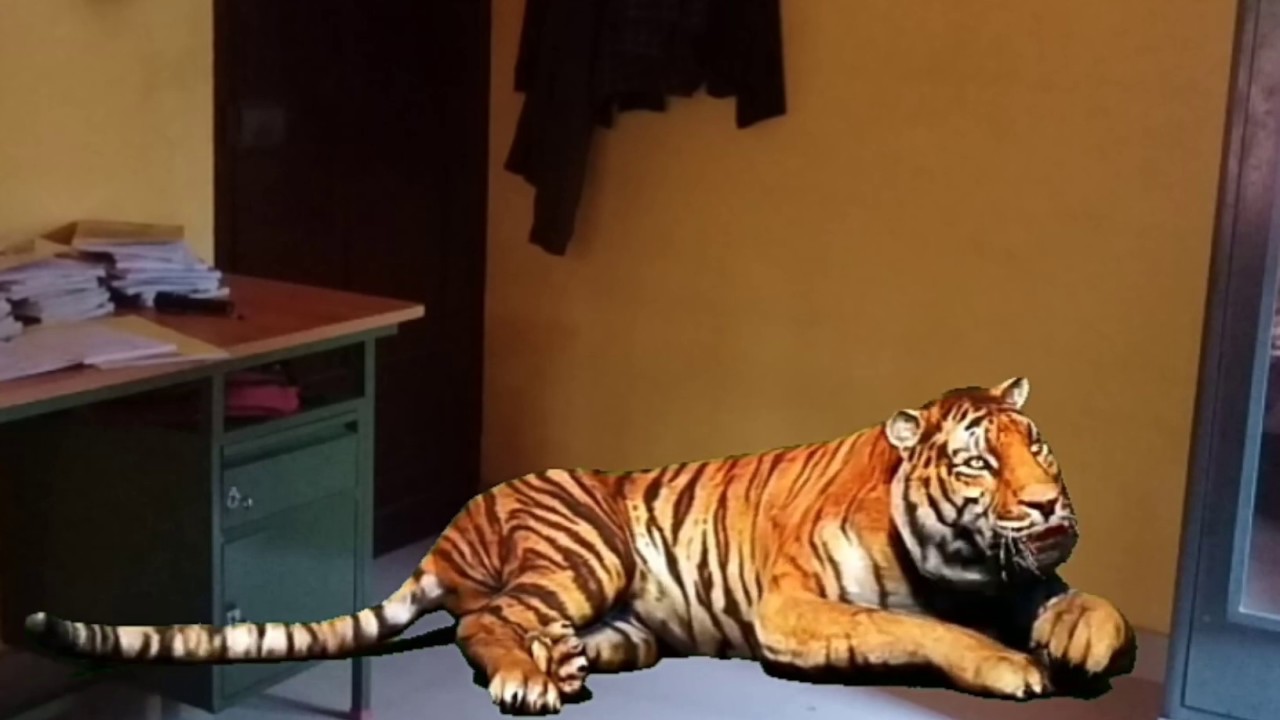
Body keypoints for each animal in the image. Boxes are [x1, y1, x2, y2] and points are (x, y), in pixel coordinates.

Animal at [25, 377, 1137, 715]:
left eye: (1036, 445)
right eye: (977, 463)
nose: (1047, 504)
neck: (961, 558)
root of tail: (458, 520)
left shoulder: (1015, 575)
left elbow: (1074, 597)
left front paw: (1089, 635)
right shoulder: (796, 608)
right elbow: (922, 632)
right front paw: (1009, 666)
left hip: (627, 617)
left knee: (522, 625)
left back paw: (560, 662)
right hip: (586, 547)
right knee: (481, 624)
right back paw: (528, 677)